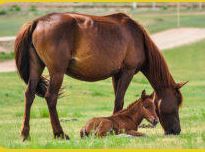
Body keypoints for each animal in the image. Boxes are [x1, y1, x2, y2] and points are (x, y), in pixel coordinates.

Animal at [14, 11, 187, 140]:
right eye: (176, 103)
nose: (176, 130)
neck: (137, 37)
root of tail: (37, 22)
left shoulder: (116, 74)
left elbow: (118, 101)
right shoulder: (128, 71)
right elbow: (119, 100)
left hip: (36, 67)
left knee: (29, 95)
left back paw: (25, 134)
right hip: (57, 71)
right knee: (51, 97)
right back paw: (59, 134)